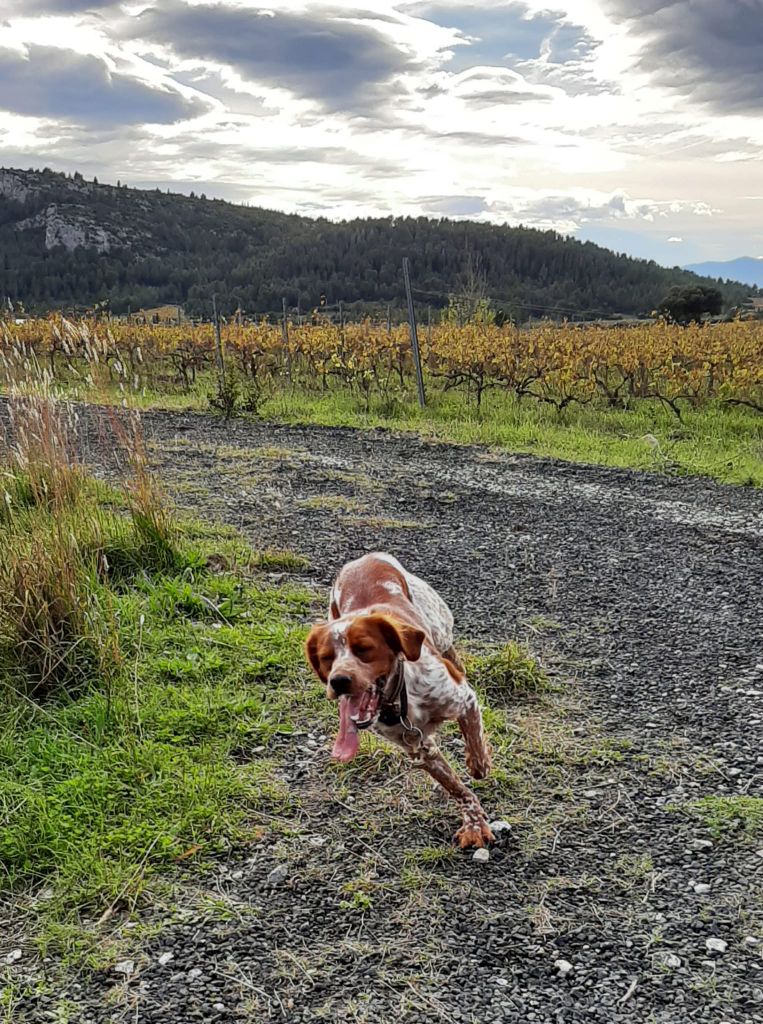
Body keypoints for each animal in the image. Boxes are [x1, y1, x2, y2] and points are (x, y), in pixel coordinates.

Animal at [303, 552, 493, 847]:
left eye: (364, 648)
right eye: (326, 658)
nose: (338, 681)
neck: (400, 698)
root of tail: (365, 557)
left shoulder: (465, 701)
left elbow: (477, 753)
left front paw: (476, 766)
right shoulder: (419, 747)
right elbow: (456, 787)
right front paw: (473, 821)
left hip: (440, 628)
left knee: (451, 653)